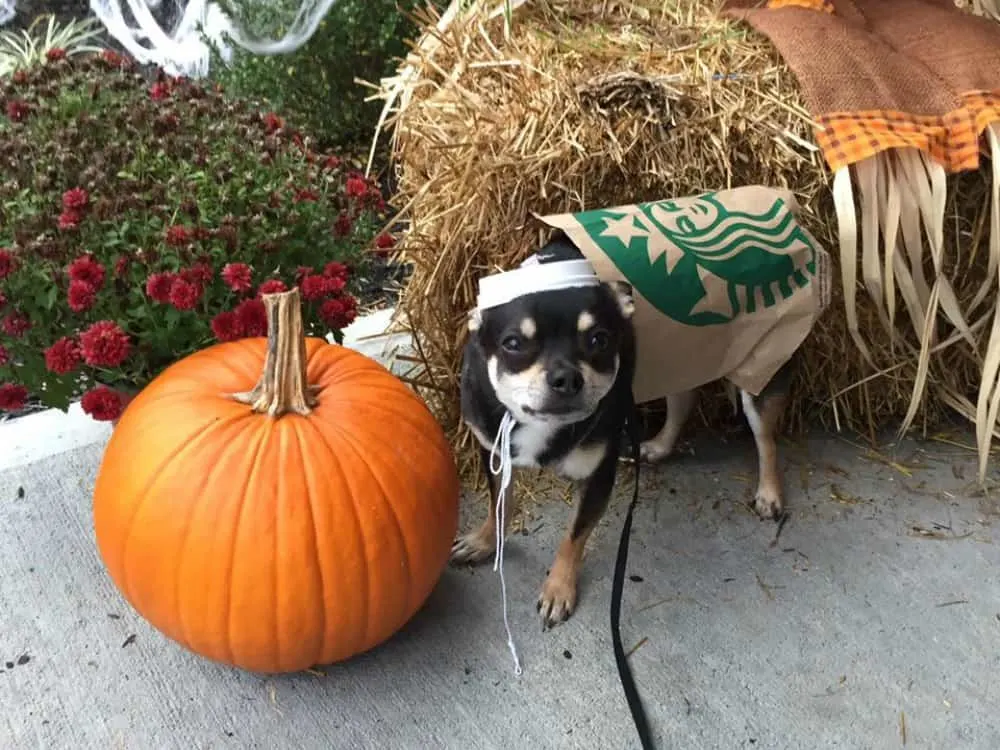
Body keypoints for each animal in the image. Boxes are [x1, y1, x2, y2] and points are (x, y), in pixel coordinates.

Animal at [452, 239, 788, 628]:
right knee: (683, 398)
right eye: (513, 343)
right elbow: (499, 505)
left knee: (766, 439)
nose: (567, 378)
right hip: (681, 360)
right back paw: (658, 446)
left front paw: (558, 588)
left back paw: (769, 493)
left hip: (759, 370)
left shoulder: (598, 476)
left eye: (599, 339)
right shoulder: (494, 452)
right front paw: (484, 541)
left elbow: (574, 535)